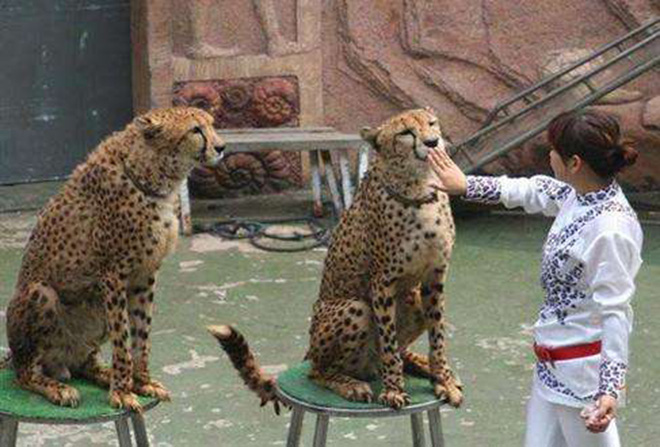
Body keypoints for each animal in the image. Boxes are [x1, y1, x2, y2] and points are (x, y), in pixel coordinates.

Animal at [4, 107, 227, 412]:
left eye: (212, 124)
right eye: (195, 130)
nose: (222, 147)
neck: (150, 174)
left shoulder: (145, 275)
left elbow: (141, 334)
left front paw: (141, 381)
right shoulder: (113, 275)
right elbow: (123, 338)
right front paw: (122, 390)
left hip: (94, 308)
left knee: (83, 363)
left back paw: (102, 373)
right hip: (42, 293)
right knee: (25, 374)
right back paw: (59, 388)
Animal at [209, 107, 462, 410]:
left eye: (432, 123)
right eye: (405, 133)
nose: (433, 142)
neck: (419, 186)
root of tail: (310, 350)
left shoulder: (435, 276)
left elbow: (438, 336)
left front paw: (443, 379)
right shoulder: (382, 282)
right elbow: (389, 343)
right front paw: (393, 390)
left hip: (412, 296)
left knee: (401, 351)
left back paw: (421, 364)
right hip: (354, 308)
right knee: (319, 371)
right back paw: (351, 384)